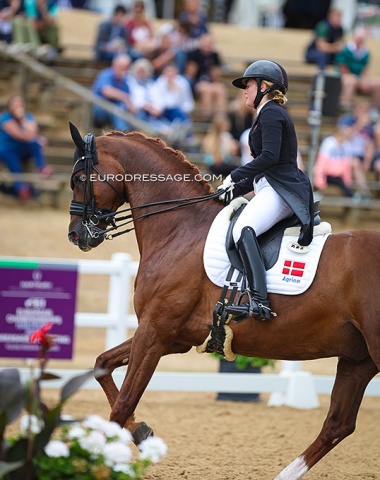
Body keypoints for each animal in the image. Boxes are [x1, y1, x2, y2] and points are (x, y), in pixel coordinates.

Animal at [68, 125, 380, 478]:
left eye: (80, 178)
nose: (76, 235)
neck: (180, 229)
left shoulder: (155, 332)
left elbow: (123, 404)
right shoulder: (173, 337)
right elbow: (103, 365)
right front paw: (142, 433)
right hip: (357, 358)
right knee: (338, 424)